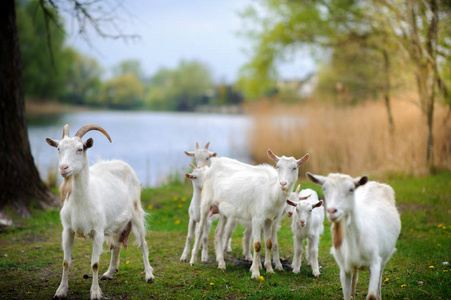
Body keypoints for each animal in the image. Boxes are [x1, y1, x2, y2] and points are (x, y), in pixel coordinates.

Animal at [46, 124, 154, 300]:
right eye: (58, 148)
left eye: (80, 149)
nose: (63, 168)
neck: (83, 202)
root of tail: (122, 163)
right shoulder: (68, 230)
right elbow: (66, 262)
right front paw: (61, 291)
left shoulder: (97, 232)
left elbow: (95, 264)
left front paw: (95, 293)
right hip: (117, 222)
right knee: (116, 245)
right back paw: (109, 273)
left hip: (136, 212)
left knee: (143, 244)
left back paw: (149, 275)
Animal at [189, 150, 308, 278]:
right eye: (278, 166)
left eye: (294, 168)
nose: (283, 183)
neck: (271, 191)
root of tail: (211, 167)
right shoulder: (257, 218)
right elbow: (257, 244)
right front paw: (255, 273)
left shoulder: (269, 219)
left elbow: (269, 243)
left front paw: (270, 269)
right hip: (206, 202)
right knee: (200, 230)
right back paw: (192, 260)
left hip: (223, 210)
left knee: (218, 233)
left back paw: (221, 263)